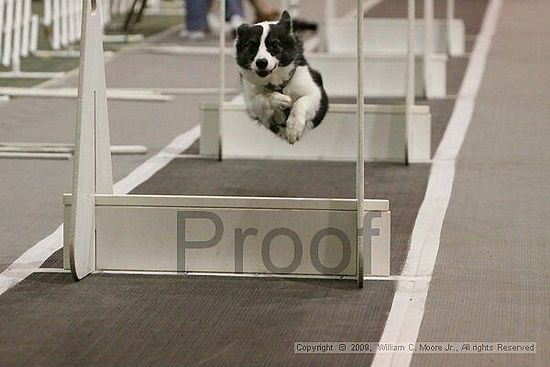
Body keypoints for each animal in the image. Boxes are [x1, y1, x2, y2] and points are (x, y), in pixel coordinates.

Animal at [236, 11, 328, 144]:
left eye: (275, 44)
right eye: (251, 45)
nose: (261, 62)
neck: (276, 83)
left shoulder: (316, 92)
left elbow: (301, 102)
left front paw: (293, 128)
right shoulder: (254, 107)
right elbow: (261, 98)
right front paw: (279, 100)